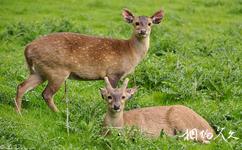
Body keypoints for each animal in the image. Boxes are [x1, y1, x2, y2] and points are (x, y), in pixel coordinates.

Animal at [14, 8, 164, 112]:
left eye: (150, 24)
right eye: (136, 23)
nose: (143, 31)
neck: (130, 51)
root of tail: (27, 48)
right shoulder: (113, 72)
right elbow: (111, 92)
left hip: (39, 71)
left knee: (21, 86)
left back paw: (19, 113)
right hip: (57, 70)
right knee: (46, 94)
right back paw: (59, 113)